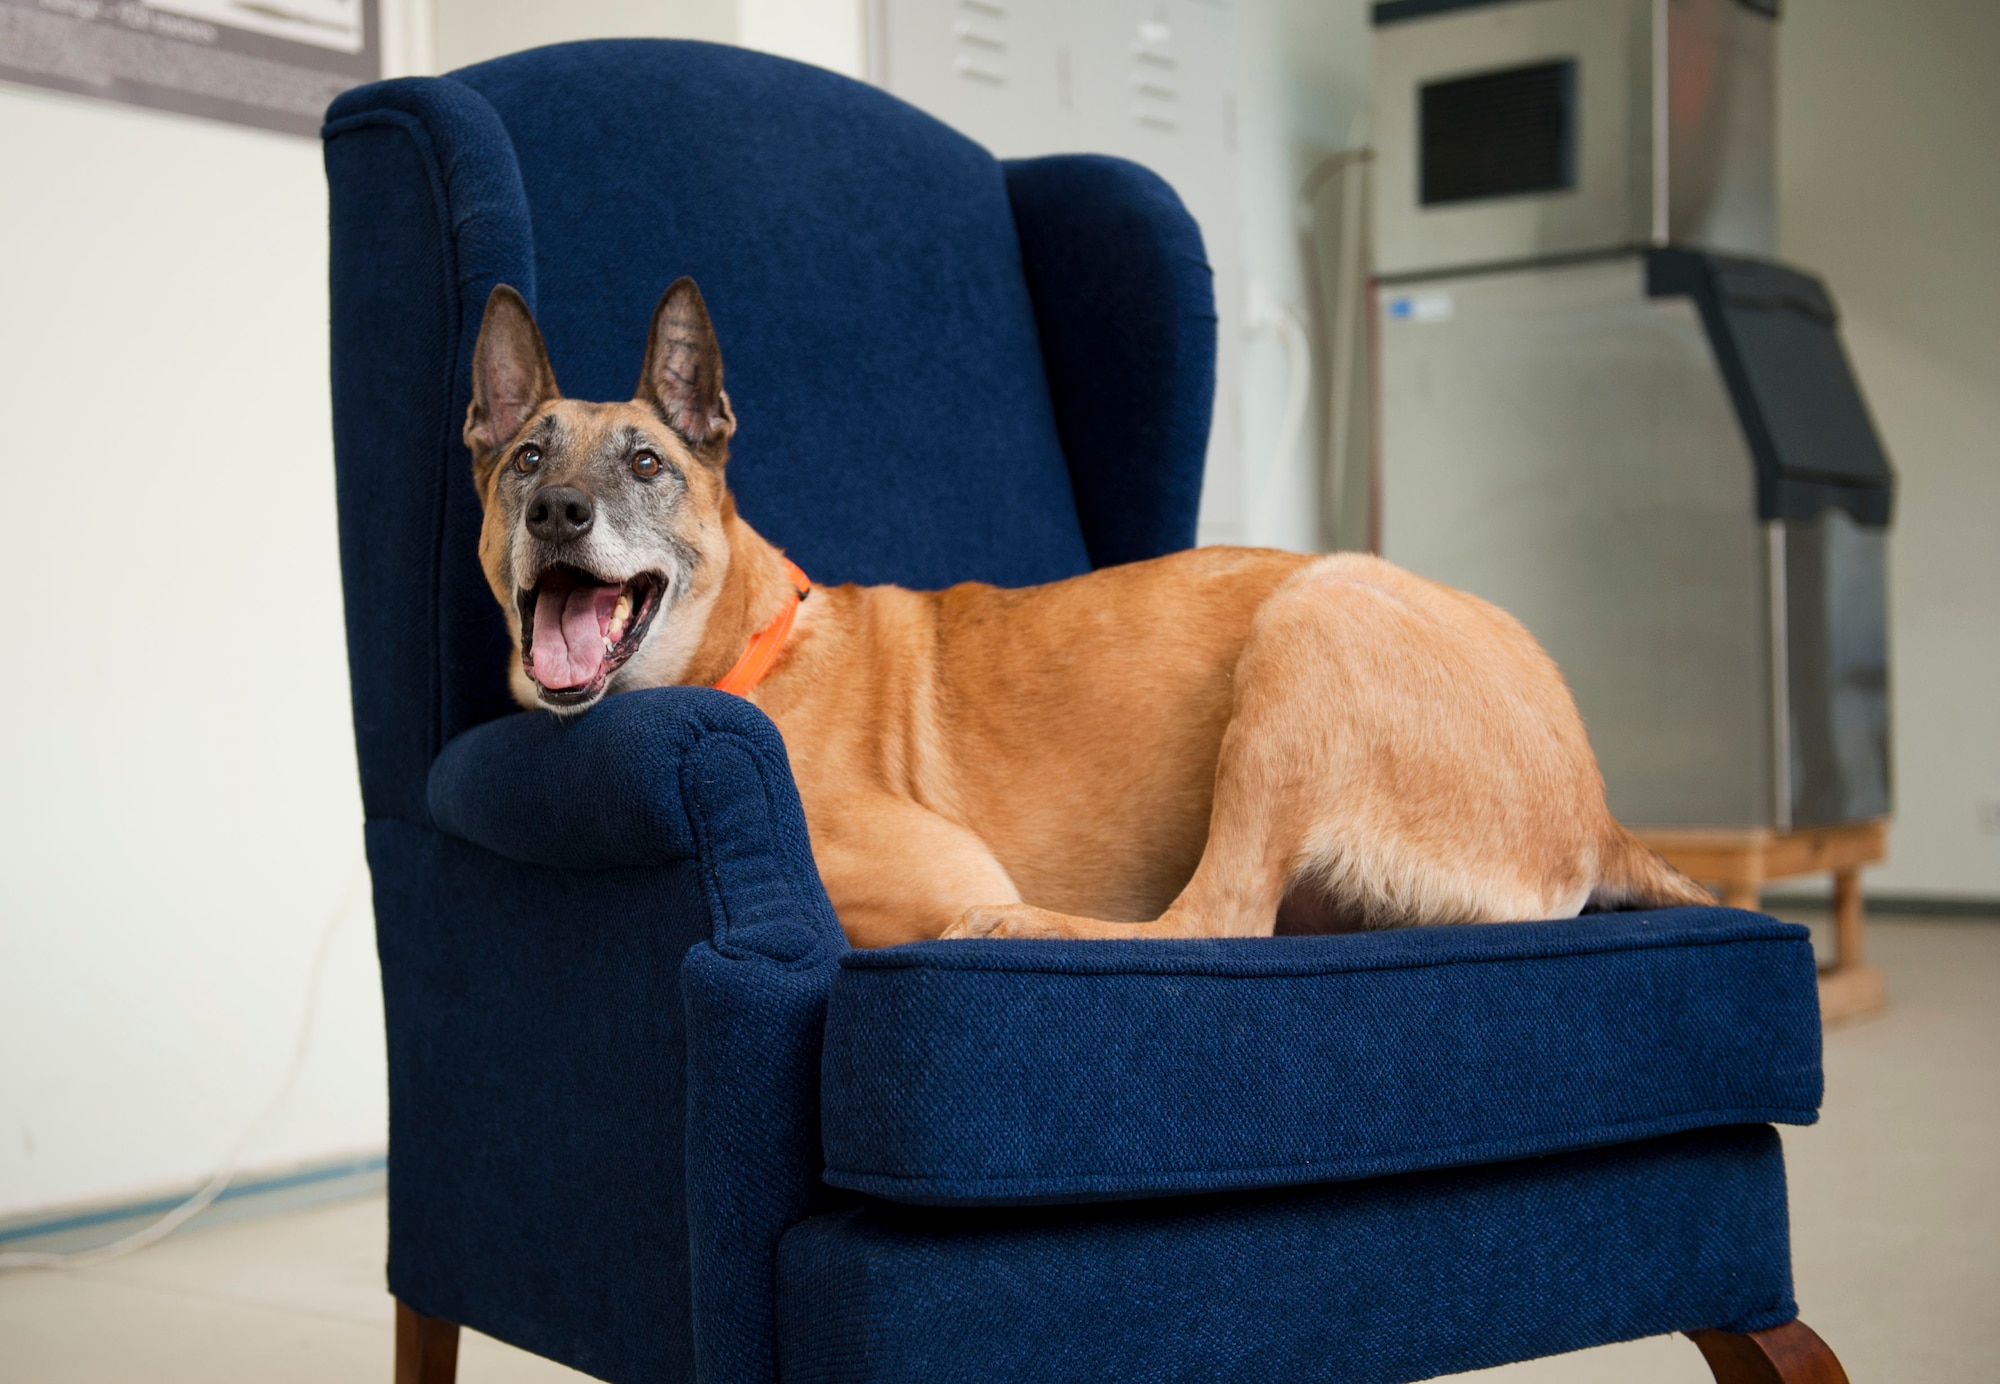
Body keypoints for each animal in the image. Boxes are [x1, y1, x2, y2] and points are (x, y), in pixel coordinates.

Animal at [464, 282, 1704, 952]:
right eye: (525, 459)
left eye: (644, 464)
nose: (558, 511)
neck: (744, 657)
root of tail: (1601, 814)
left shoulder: (938, 873)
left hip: (1310, 620)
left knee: (1210, 924)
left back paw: (1020, 930)